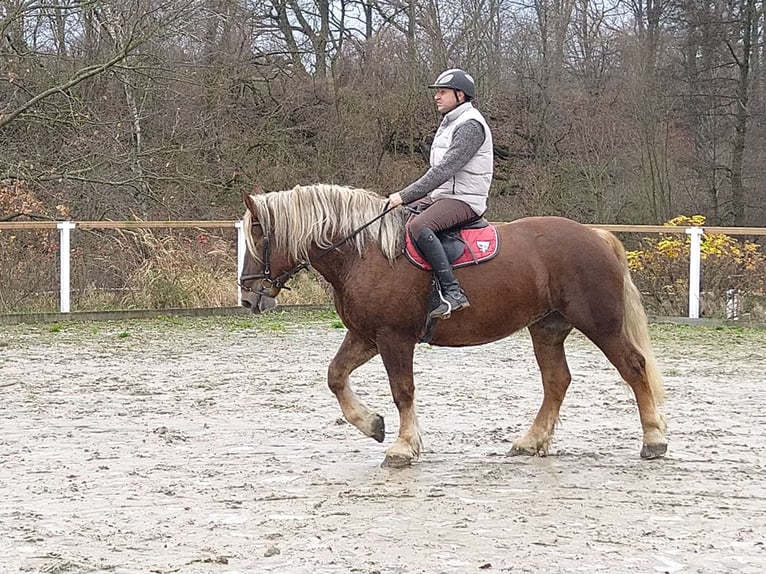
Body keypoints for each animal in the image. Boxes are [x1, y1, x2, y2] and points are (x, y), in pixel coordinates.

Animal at [240, 187, 664, 470]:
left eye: (259, 236)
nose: (248, 297)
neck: (365, 253)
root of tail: (595, 235)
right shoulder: (366, 336)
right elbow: (335, 376)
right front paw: (372, 425)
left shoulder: (394, 338)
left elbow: (402, 391)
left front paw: (403, 447)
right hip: (546, 328)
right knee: (556, 381)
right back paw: (531, 441)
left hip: (600, 324)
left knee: (633, 368)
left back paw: (654, 439)